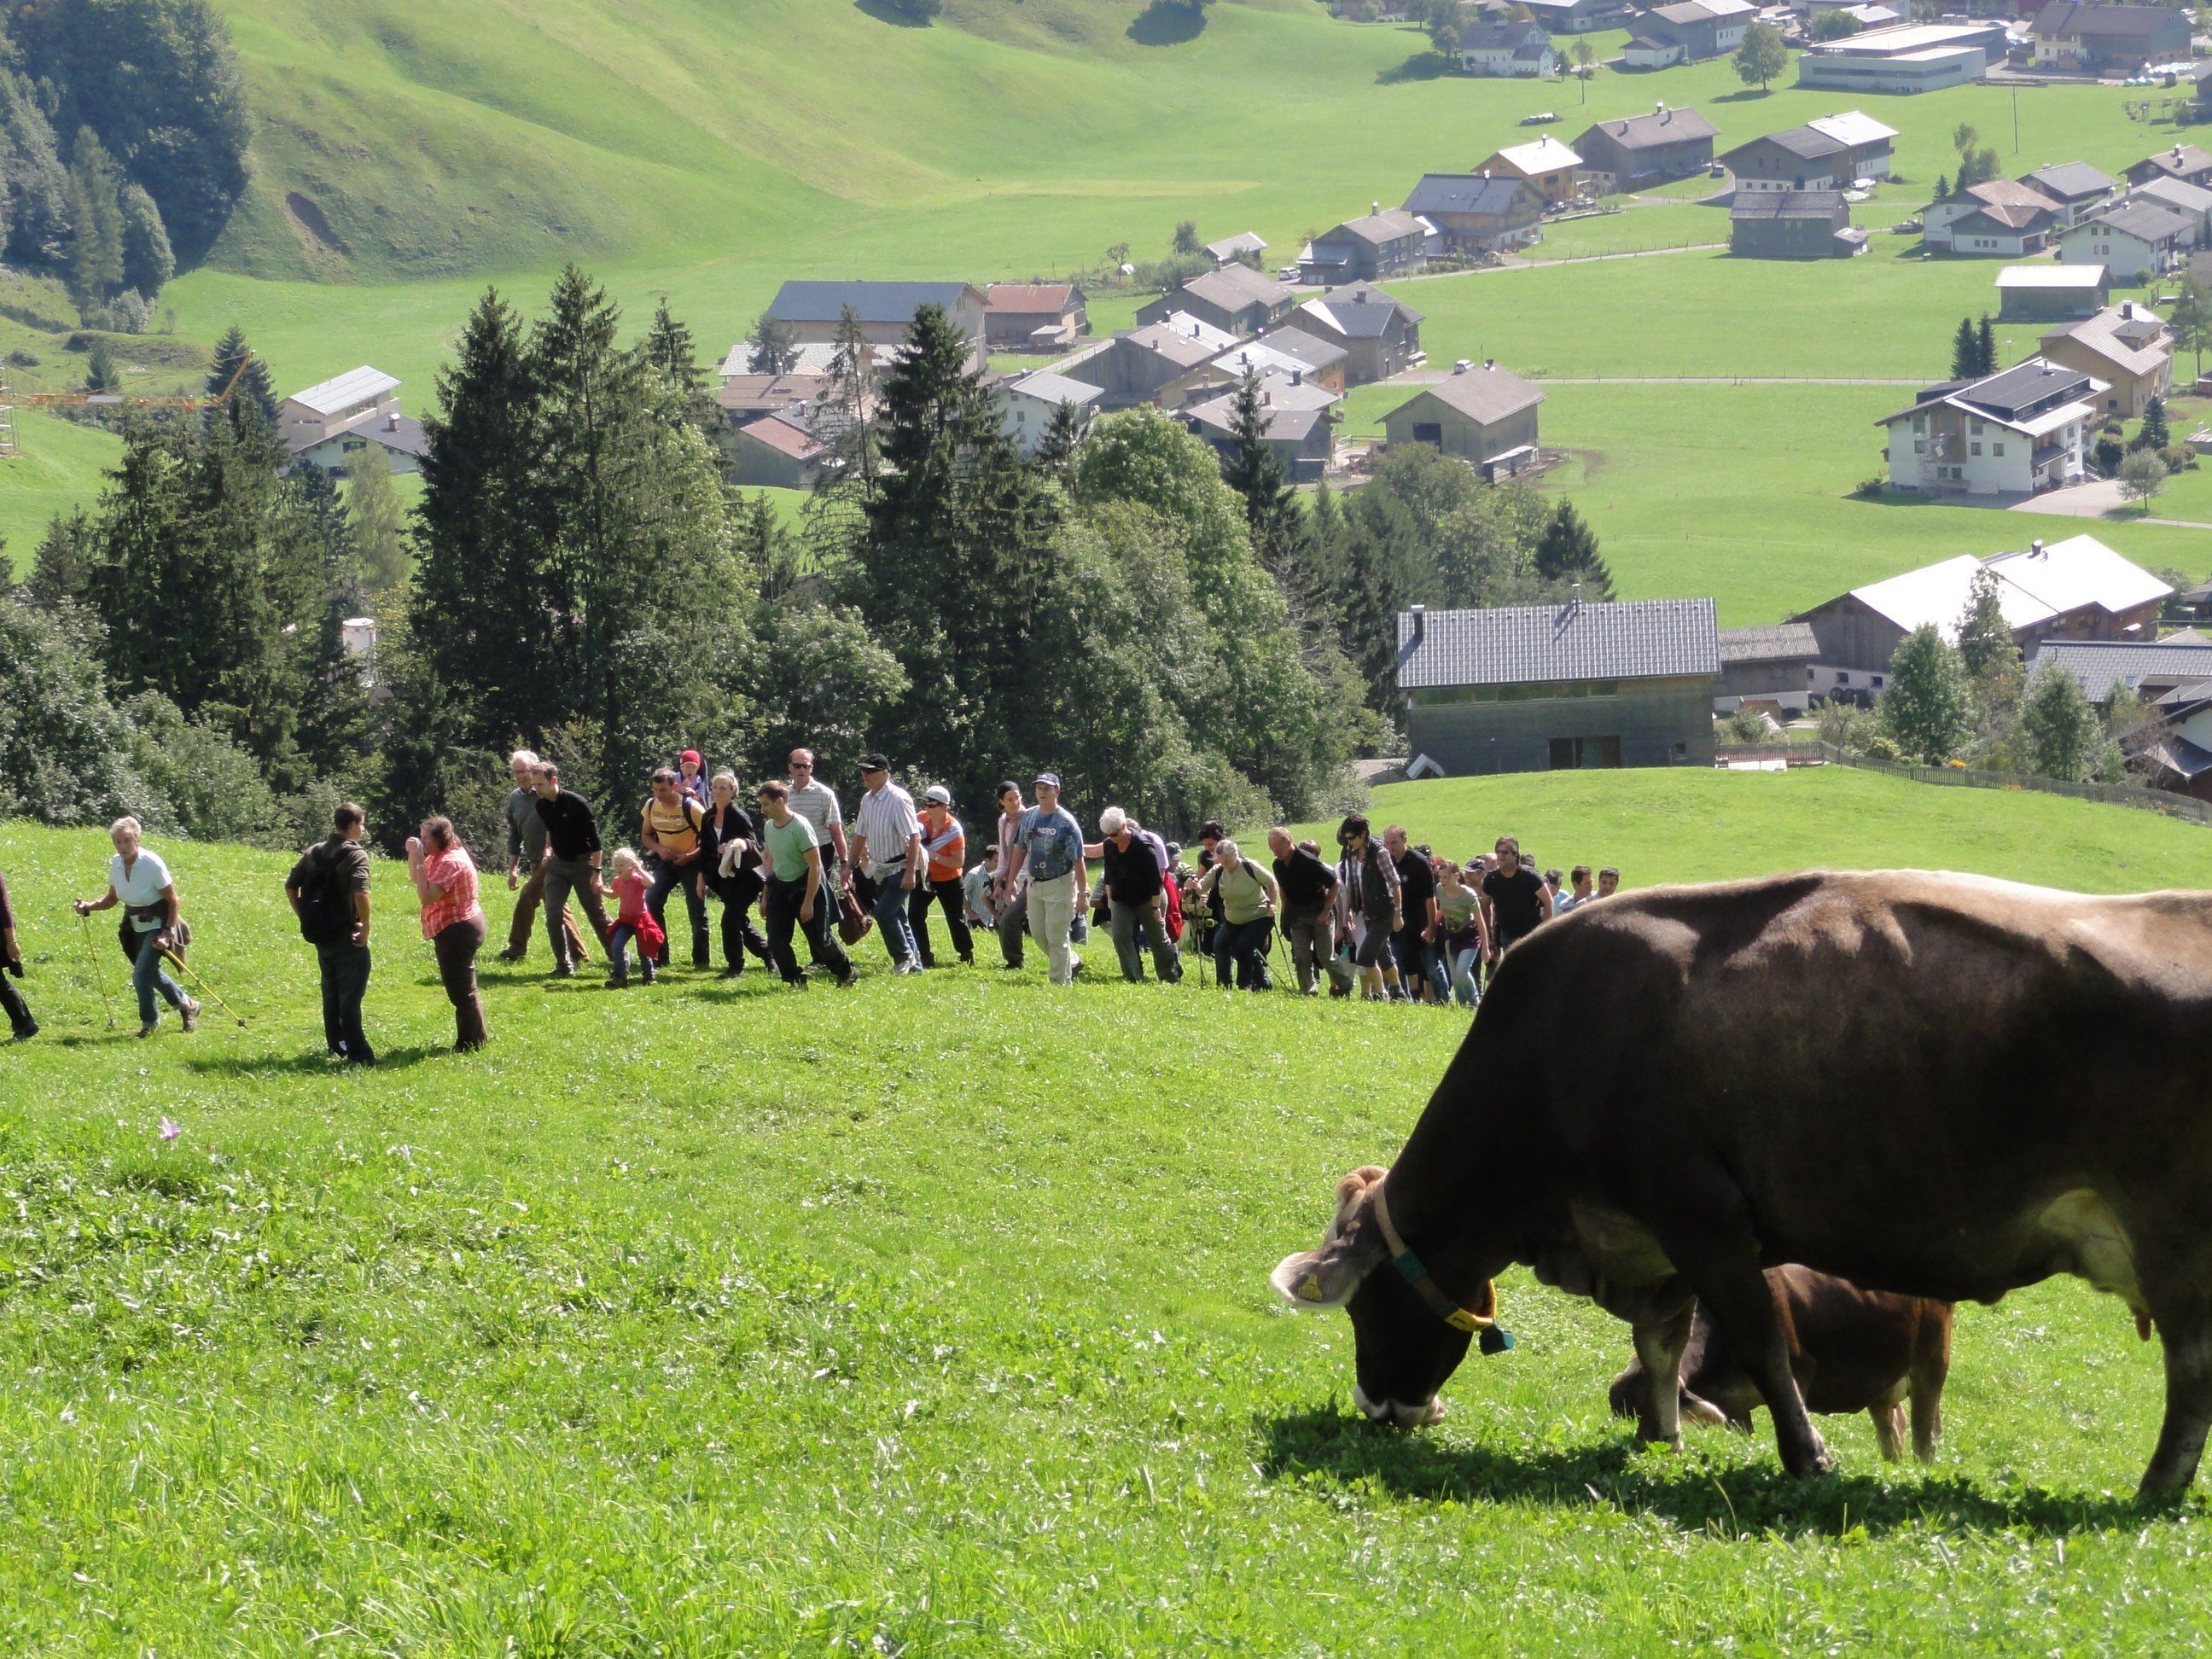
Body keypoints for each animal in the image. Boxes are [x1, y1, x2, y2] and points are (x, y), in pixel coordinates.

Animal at [1605, 1267, 1952, 1463]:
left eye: (1651, 1406)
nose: (1642, 1445)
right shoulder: (1734, 1407)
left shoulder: (1797, 1371)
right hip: (1879, 1382)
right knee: (1893, 1429)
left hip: (1932, 1358)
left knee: (1925, 1433)